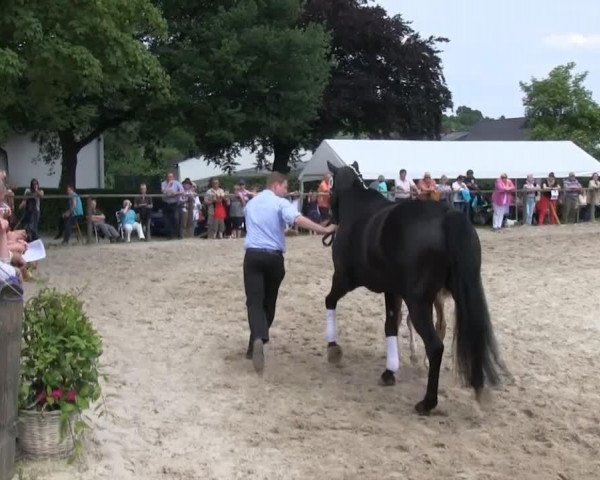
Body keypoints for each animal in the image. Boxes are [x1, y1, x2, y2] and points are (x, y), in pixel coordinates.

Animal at [326, 162, 504, 416]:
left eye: (330, 185)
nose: (331, 214)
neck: (358, 209)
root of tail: (447, 216)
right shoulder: (391, 290)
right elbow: (391, 325)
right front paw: (389, 371)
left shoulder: (343, 278)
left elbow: (329, 301)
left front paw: (333, 348)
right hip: (460, 294)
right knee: (473, 332)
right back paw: (478, 388)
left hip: (419, 303)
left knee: (435, 346)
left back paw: (427, 402)